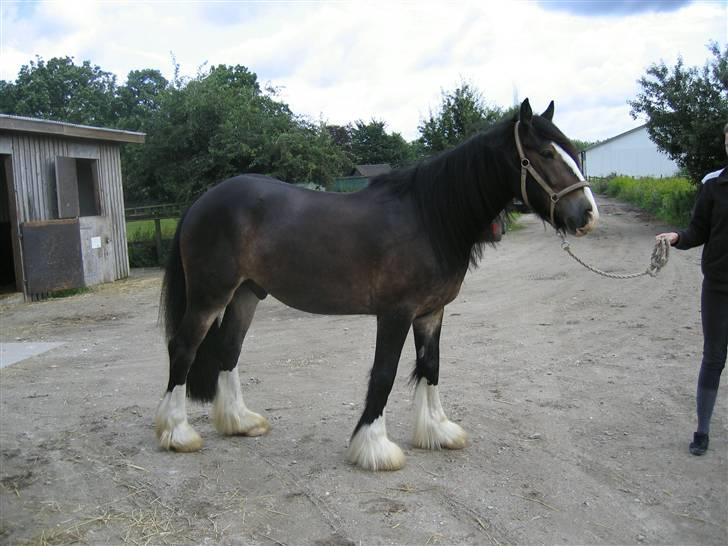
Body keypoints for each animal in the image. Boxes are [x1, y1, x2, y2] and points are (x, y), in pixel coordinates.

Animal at [152, 100, 596, 470]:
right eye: (545, 154)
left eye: (572, 152)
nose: (588, 215)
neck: (428, 218)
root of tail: (201, 202)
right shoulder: (395, 313)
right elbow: (384, 373)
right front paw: (374, 448)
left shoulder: (431, 312)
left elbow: (431, 366)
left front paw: (437, 431)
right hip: (210, 295)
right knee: (183, 348)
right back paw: (178, 433)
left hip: (246, 294)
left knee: (229, 351)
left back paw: (239, 422)